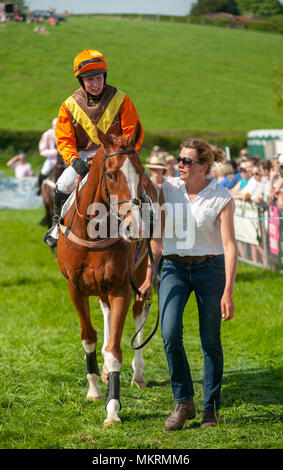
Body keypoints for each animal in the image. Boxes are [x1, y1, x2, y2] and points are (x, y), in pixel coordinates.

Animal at [56, 121, 159, 426]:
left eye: (141, 171)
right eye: (111, 174)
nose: (135, 227)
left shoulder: (121, 288)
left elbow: (115, 349)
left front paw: (113, 410)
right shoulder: (76, 288)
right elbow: (89, 336)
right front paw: (93, 389)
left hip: (142, 275)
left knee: (139, 313)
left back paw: (138, 374)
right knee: (105, 314)